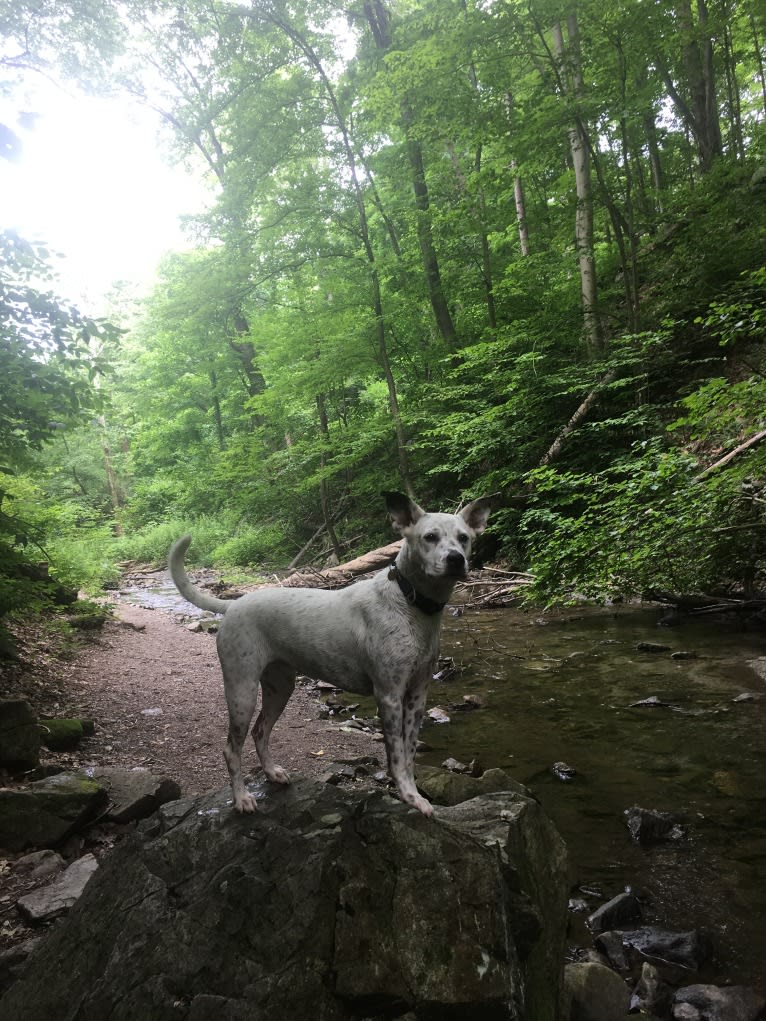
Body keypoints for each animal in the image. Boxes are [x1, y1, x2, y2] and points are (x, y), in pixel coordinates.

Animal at [167, 490, 492, 816]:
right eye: (430, 537)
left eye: (463, 538)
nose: (456, 559)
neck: (409, 603)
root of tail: (233, 604)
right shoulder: (389, 695)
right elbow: (397, 754)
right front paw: (409, 795)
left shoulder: (417, 696)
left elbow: (410, 751)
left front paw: (413, 792)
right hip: (241, 691)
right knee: (231, 748)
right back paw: (241, 798)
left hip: (279, 687)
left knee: (261, 731)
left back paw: (271, 773)